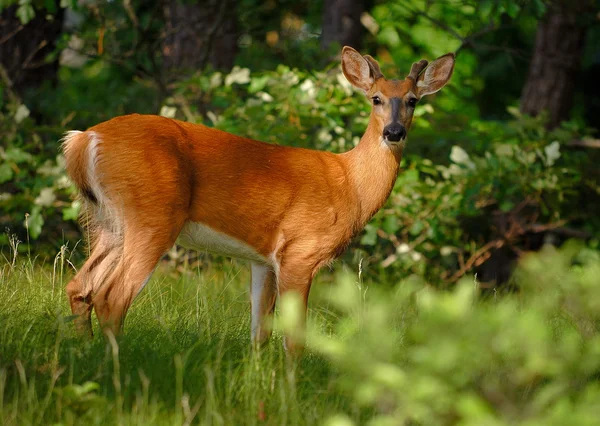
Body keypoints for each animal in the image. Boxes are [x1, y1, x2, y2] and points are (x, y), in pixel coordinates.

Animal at [62, 46, 454, 352]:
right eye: (375, 98)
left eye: (413, 101)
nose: (394, 132)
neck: (350, 184)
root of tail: (84, 140)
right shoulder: (300, 251)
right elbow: (294, 339)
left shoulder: (263, 259)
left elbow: (259, 334)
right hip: (152, 216)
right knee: (112, 297)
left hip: (108, 222)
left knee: (80, 287)